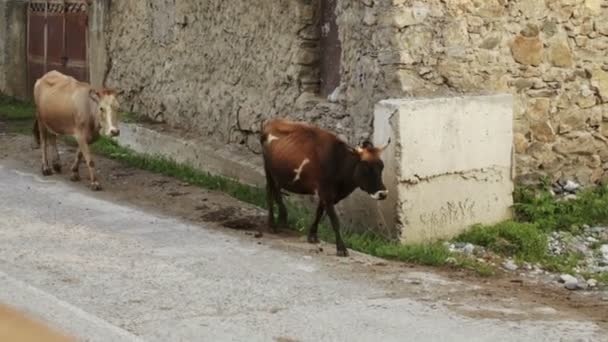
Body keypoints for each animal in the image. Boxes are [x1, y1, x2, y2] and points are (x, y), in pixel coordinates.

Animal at [258, 119, 388, 255]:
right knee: (270, 191)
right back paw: (272, 224)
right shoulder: (326, 192)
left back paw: (282, 218)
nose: (383, 193)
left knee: (276, 190)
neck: (339, 162)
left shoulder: (326, 193)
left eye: (381, 166)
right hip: (268, 169)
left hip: (278, 173)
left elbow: (319, 212)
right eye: (366, 167)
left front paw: (312, 236)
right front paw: (341, 248)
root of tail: (271, 121)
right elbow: (334, 220)